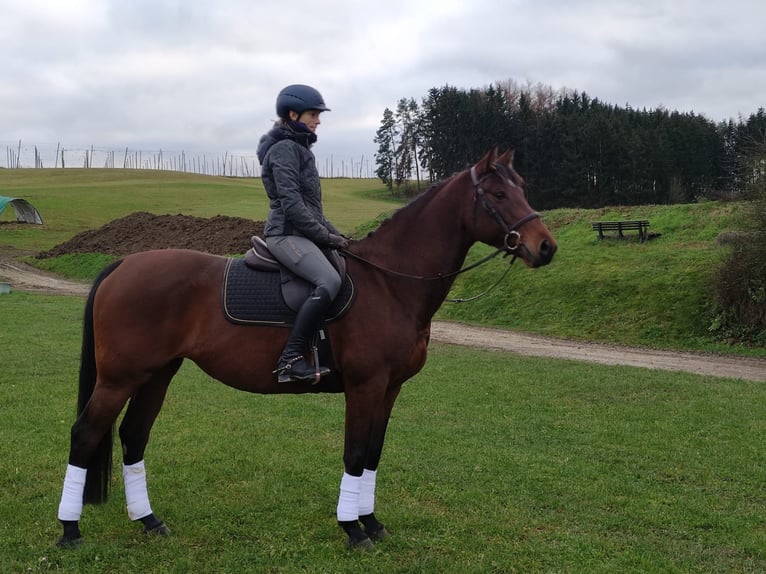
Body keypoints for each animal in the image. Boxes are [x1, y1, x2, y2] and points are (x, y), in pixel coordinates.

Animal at [55, 150, 560, 552]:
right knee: (85, 435)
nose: (546, 247)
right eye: (497, 194)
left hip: (157, 374)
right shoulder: (365, 387)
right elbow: (355, 454)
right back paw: (70, 531)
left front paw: (371, 522)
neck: (389, 283)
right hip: (119, 378)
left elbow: (373, 454)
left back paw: (148, 521)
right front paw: (352, 530)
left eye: (521, 188)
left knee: (133, 437)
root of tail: (123, 264)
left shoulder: (390, 389)